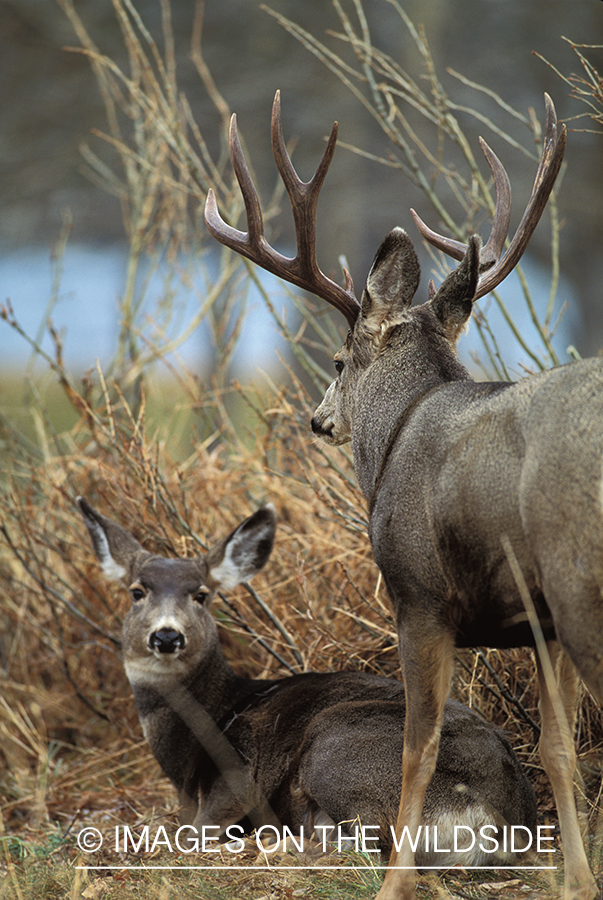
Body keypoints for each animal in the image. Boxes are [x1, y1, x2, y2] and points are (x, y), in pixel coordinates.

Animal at [77, 496, 539, 865]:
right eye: (137, 591)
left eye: (202, 594)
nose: (167, 636)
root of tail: (494, 817)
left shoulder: (238, 767)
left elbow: (193, 831)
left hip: (335, 744)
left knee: (370, 844)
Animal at [204, 91, 603, 899]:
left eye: (335, 359)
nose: (318, 418)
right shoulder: (539, 623)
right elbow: (557, 748)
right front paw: (578, 881)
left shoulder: (416, 593)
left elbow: (419, 747)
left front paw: (394, 883)